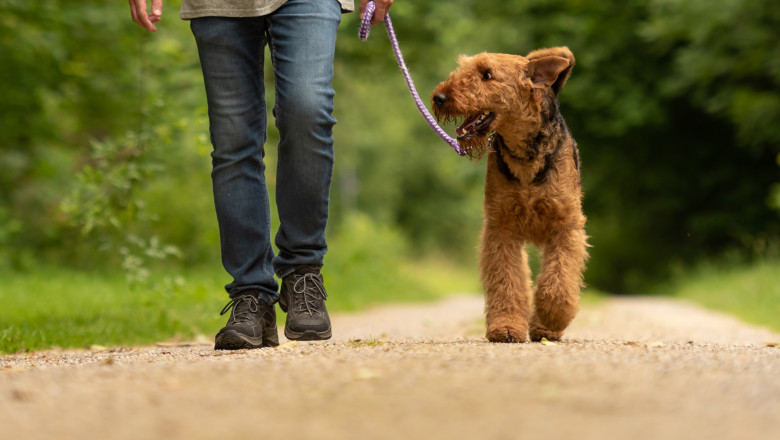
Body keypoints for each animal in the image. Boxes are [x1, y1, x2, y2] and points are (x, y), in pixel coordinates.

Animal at [432, 48, 584, 344]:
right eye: (463, 68)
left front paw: (551, 317)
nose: (439, 97)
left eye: (487, 74)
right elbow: (507, 282)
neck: (525, 157)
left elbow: (558, 282)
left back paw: (545, 327)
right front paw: (505, 328)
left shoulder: (566, 225)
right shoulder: (501, 228)